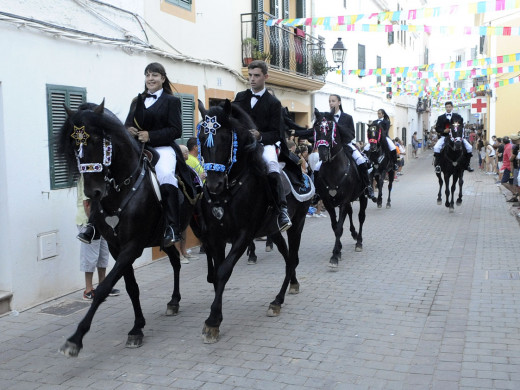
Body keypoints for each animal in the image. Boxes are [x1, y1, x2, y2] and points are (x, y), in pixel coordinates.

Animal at [54, 100, 197, 356]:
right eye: (74, 144)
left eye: (96, 140)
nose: (93, 192)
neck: (122, 188)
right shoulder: (116, 246)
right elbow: (131, 287)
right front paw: (137, 327)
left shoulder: (132, 246)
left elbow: (103, 288)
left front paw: (76, 339)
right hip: (162, 239)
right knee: (175, 261)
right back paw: (174, 301)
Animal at [195, 100, 308, 342]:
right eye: (201, 138)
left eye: (226, 139)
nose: (214, 185)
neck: (229, 191)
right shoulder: (216, 238)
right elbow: (217, 274)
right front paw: (216, 316)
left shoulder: (244, 235)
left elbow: (224, 271)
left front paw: (213, 321)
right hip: (273, 230)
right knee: (288, 258)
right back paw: (291, 285)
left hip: (298, 224)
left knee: (292, 258)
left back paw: (277, 301)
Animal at [310, 109, 368, 268]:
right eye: (316, 127)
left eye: (330, 128)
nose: (323, 153)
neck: (333, 169)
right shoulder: (328, 202)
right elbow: (335, 226)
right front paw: (339, 249)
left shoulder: (343, 201)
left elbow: (339, 228)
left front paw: (335, 256)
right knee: (350, 212)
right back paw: (354, 234)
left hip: (363, 196)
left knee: (361, 217)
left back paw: (359, 241)